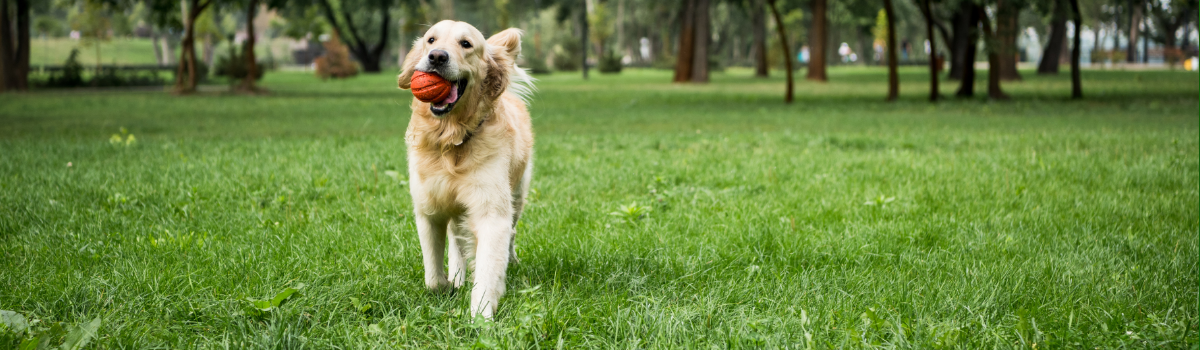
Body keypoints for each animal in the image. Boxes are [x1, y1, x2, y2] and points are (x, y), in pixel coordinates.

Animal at [396, 20, 532, 318]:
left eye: (466, 44)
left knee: (511, 233)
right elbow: (432, 278)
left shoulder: (492, 212)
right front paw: (447, 285)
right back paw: (457, 275)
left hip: (517, 194)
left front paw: (482, 316)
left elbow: (488, 268)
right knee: (456, 239)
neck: (451, 140)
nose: (437, 56)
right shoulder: (429, 210)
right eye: (431, 39)